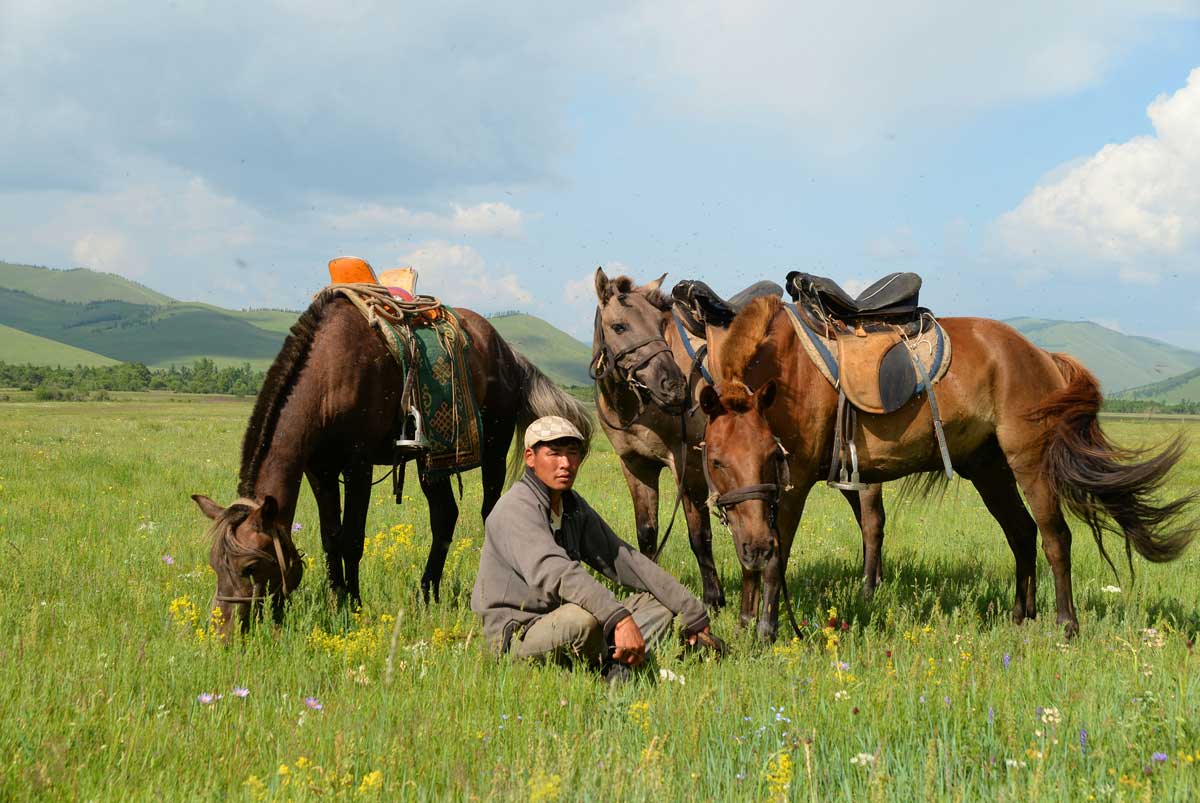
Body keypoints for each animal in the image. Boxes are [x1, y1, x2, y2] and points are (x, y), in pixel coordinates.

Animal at [186, 289, 590, 638]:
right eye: (214, 564)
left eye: (250, 566)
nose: (222, 632)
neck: (328, 374)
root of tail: (508, 354)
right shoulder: (319, 470)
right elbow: (331, 538)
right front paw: (336, 599)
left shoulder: (358, 465)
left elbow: (352, 539)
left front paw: (353, 605)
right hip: (432, 464)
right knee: (445, 517)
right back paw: (427, 593)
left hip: (492, 451)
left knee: (489, 513)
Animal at [592, 266, 892, 609]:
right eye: (619, 326)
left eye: (660, 323)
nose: (674, 386)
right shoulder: (635, 465)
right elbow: (646, 533)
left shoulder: (688, 466)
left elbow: (699, 536)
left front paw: (714, 599)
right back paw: (876, 580)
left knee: (871, 520)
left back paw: (869, 589)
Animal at [700, 294, 1195, 638]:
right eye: (717, 459)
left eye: (770, 454)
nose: (755, 546)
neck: (788, 371)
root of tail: (1041, 356)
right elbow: (756, 556)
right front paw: (745, 622)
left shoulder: (795, 480)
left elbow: (777, 556)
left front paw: (766, 630)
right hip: (989, 471)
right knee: (1021, 533)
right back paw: (1021, 616)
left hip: (1030, 463)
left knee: (1056, 538)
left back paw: (1066, 625)